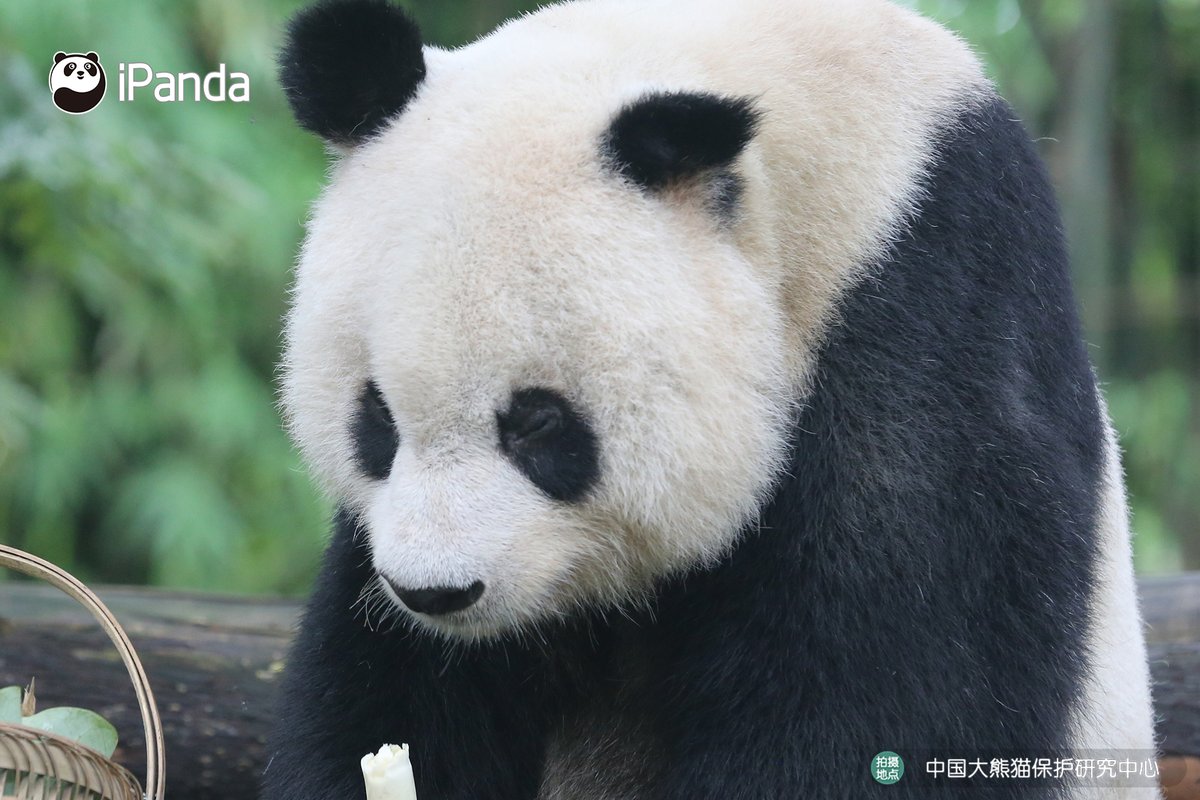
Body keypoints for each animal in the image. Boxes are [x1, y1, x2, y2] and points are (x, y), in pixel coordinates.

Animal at [265, 0, 1160, 798]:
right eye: (377, 417)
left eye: (538, 423)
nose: (436, 593)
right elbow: (385, 690)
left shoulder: (927, 318)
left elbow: (889, 693)